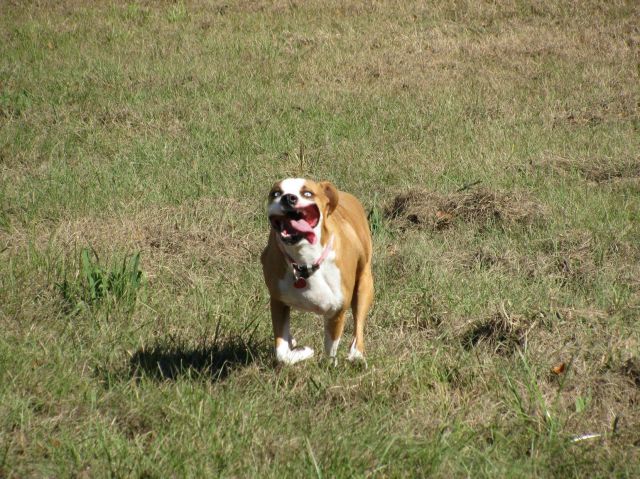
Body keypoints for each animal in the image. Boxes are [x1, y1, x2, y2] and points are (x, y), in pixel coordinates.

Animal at [260, 178, 372, 366]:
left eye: (307, 193)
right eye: (275, 193)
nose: (288, 198)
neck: (304, 262)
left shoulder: (337, 311)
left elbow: (330, 349)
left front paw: (327, 365)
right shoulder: (278, 301)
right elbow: (282, 353)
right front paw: (302, 351)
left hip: (364, 284)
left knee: (359, 322)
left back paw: (356, 354)